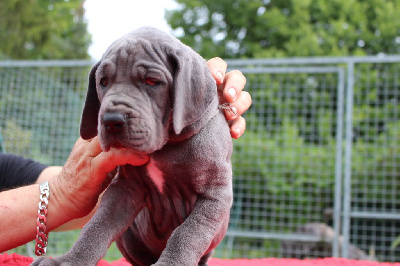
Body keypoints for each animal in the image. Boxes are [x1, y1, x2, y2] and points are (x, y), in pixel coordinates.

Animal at [32, 27, 233, 266]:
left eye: (152, 81)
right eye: (103, 82)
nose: (111, 120)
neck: (165, 147)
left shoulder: (215, 193)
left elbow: (189, 232)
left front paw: (171, 263)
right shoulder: (126, 188)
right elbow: (97, 226)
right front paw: (71, 259)